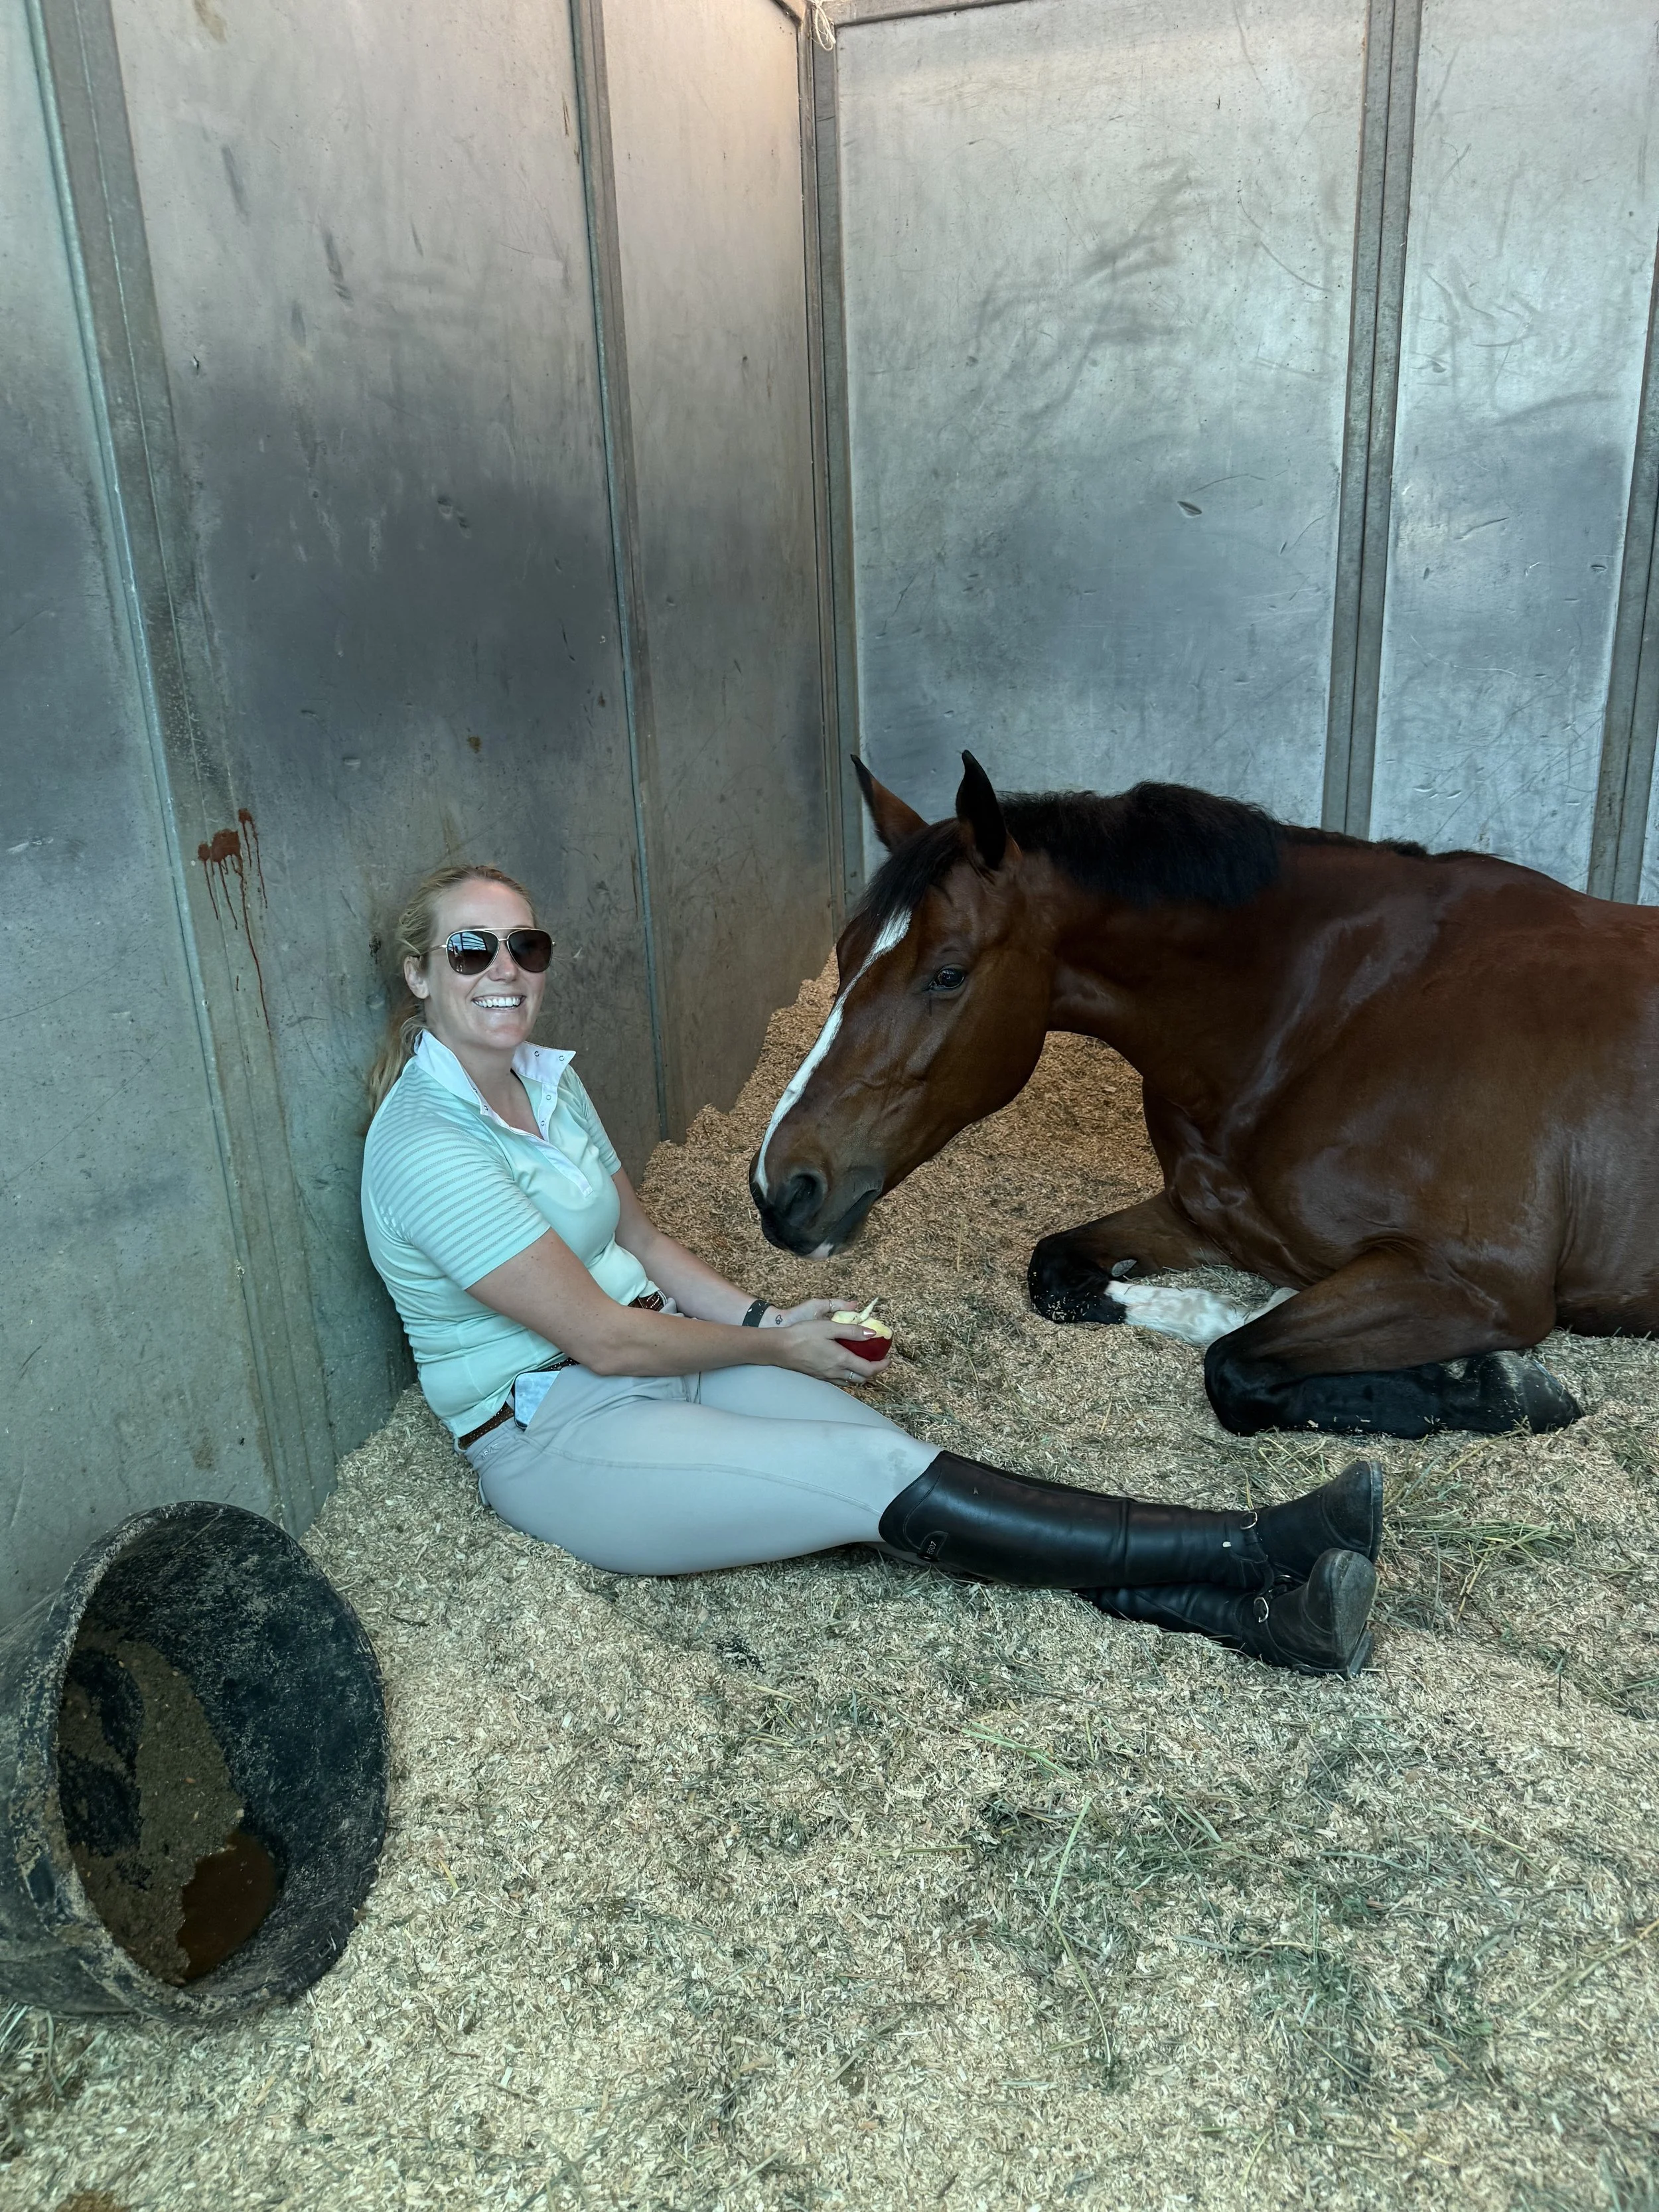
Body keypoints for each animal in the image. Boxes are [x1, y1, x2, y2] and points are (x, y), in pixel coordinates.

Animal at [750, 753, 1659, 1439]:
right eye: (843, 952)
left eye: (947, 974)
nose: (779, 1190)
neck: (1327, 1016)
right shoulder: (1201, 1216)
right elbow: (1060, 1272)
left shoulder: (1480, 1285)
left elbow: (1238, 1369)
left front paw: (1499, 1385)